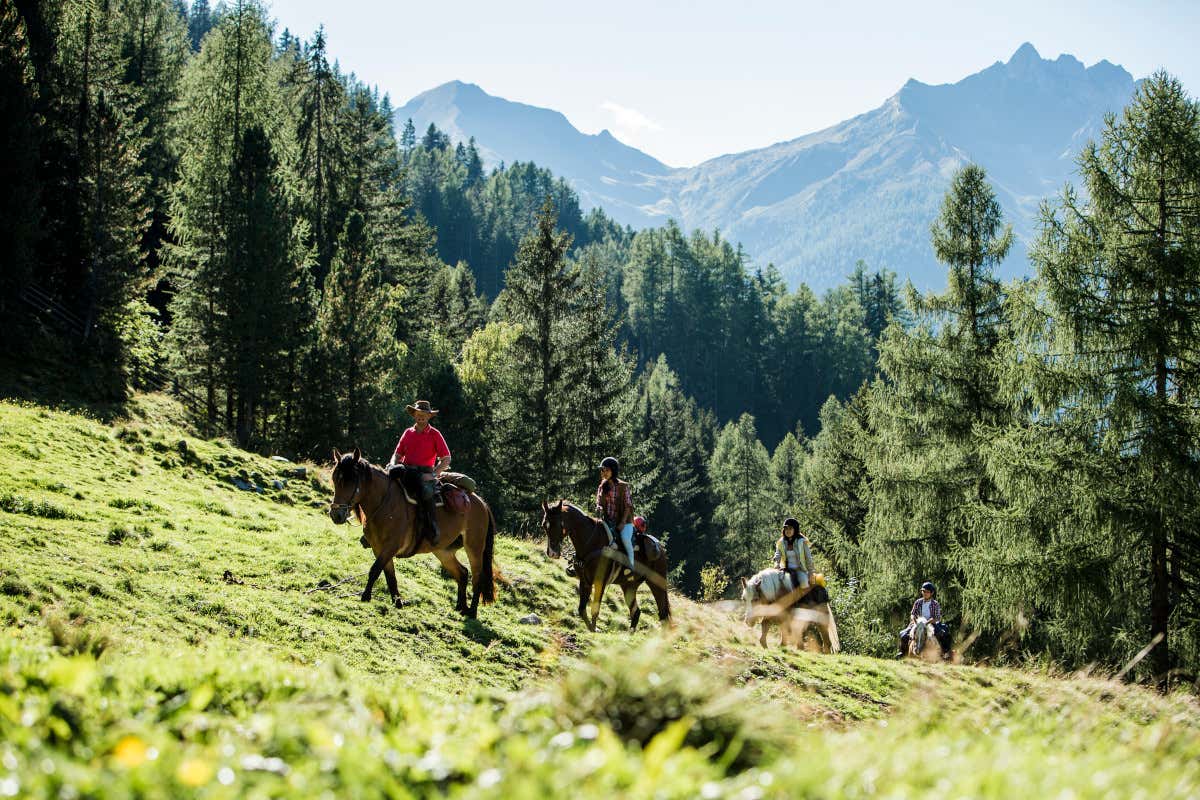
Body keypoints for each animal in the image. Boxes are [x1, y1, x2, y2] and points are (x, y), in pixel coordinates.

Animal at [328, 448, 496, 617]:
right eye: (335, 479)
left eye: (351, 481)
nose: (336, 515)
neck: (385, 504)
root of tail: (481, 503)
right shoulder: (378, 548)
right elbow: (389, 575)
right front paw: (397, 603)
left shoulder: (391, 546)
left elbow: (375, 569)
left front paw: (365, 596)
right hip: (443, 550)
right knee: (462, 573)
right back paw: (461, 607)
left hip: (474, 546)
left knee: (477, 577)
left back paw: (472, 612)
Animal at [541, 499, 670, 632]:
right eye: (544, 525)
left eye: (559, 524)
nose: (552, 553)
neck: (592, 542)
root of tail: (660, 548)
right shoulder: (585, 582)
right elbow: (582, 609)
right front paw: (593, 629)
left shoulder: (600, 582)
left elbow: (595, 608)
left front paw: (595, 629)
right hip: (629, 586)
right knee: (636, 612)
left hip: (656, 583)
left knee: (663, 613)